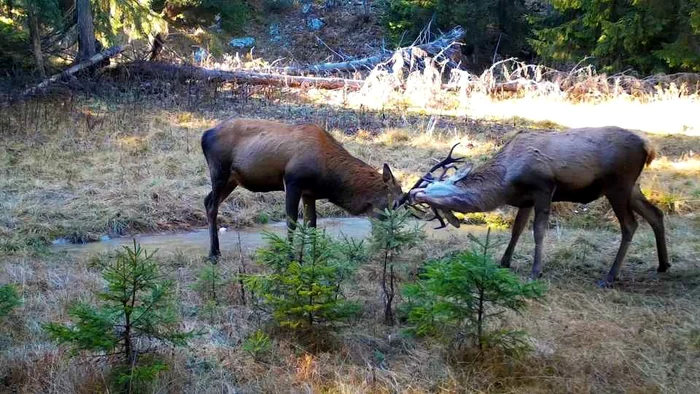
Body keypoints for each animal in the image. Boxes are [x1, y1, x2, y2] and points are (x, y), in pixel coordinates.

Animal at [200, 117, 404, 258]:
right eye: (395, 204)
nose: (390, 239)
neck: (327, 178)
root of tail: (204, 136)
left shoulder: (309, 192)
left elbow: (311, 224)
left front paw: (312, 255)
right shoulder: (292, 182)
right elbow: (291, 222)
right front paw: (290, 255)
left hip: (231, 180)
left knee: (207, 200)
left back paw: (215, 251)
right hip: (219, 171)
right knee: (211, 205)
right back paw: (213, 254)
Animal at [408, 124, 668, 284]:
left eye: (433, 187)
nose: (412, 194)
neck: (505, 183)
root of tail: (648, 148)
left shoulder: (544, 189)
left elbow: (538, 231)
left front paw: (535, 271)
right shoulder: (526, 199)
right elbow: (517, 229)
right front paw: (504, 262)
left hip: (618, 184)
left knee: (630, 225)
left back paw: (610, 277)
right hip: (631, 187)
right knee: (656, 213)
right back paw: (663, 265)